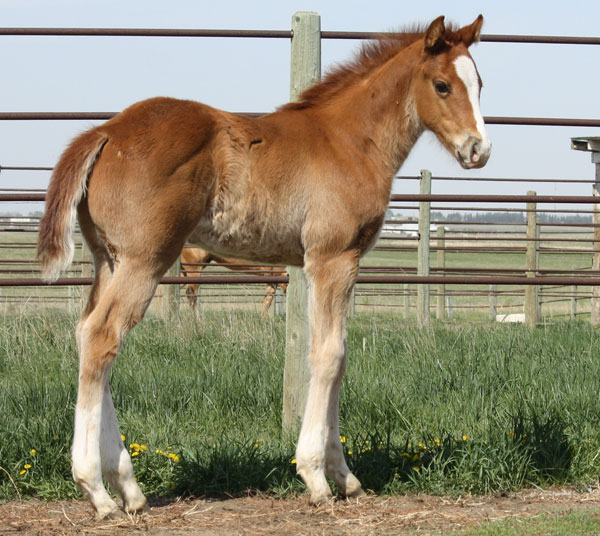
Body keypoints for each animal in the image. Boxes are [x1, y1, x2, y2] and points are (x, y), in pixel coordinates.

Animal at [36, 16, 488, 516]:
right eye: (443, 85)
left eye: (480, 84)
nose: (478, 150)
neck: (350, 141)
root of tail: (106, 132)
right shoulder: (332, 258)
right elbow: (329, 356)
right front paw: (318, 477)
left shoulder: (319, 265)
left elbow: (335, 353)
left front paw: (346, 477)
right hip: (144, 259)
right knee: (103, 337)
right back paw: (97, 491)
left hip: (109, 260)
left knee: (88, 334)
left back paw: (129, 488)